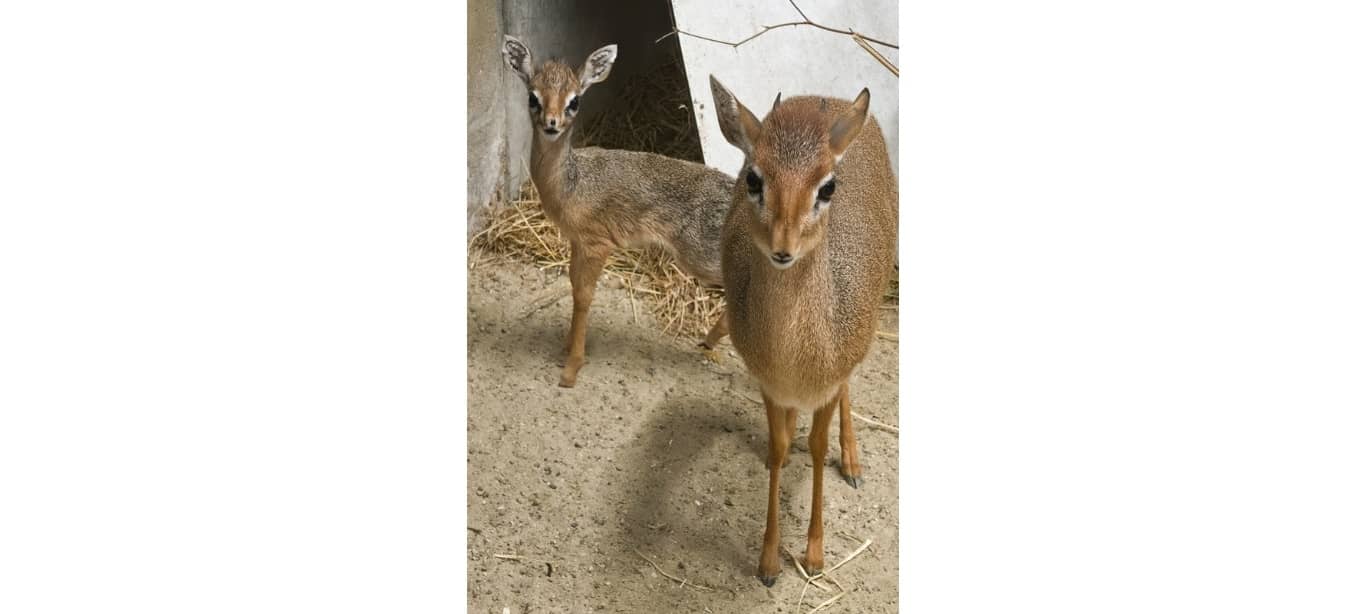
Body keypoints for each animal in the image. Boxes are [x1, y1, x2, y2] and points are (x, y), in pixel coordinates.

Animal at [500, 36, 733, 387]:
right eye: (533, 96)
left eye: (574, 101)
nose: (552, 124)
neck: (571, 184)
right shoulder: (577, 242)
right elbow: (573, 285)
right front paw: (567, 346)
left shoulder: (598, 243)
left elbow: (584, 295)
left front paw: (571, 369)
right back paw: (709, 341)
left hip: (700, 257)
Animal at [709, 76, 897, 585]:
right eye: (754, 179)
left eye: (827, 187)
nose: (783, 247)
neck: (793, 360)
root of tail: (828, 99)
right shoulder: (768, 384)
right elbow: (776, 449)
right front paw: (769, 561)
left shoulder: (829, 382)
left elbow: (817, 446)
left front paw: (813, 555)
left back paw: (852, 460)